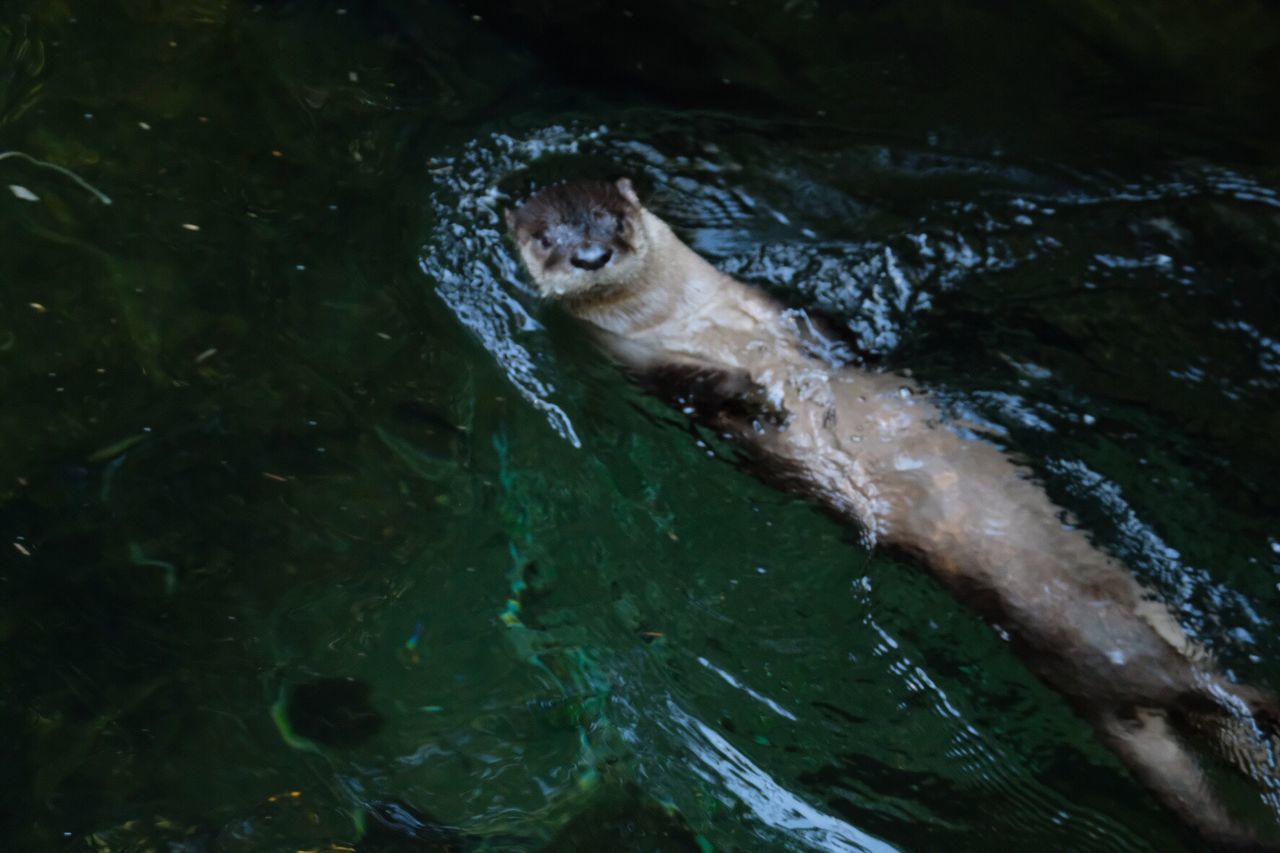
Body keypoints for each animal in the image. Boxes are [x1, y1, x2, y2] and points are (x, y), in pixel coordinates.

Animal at [504, 178, 1280, 845]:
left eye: (612, 220)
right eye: (547, 238)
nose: (590, 255)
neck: (688, 316)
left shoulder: (758, 302)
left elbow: (821, 329)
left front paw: (831, 352)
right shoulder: (646, 367)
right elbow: (707, 392)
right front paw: (755, 394)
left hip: (1156, 622)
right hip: (1101, 656)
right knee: (1195, 700)